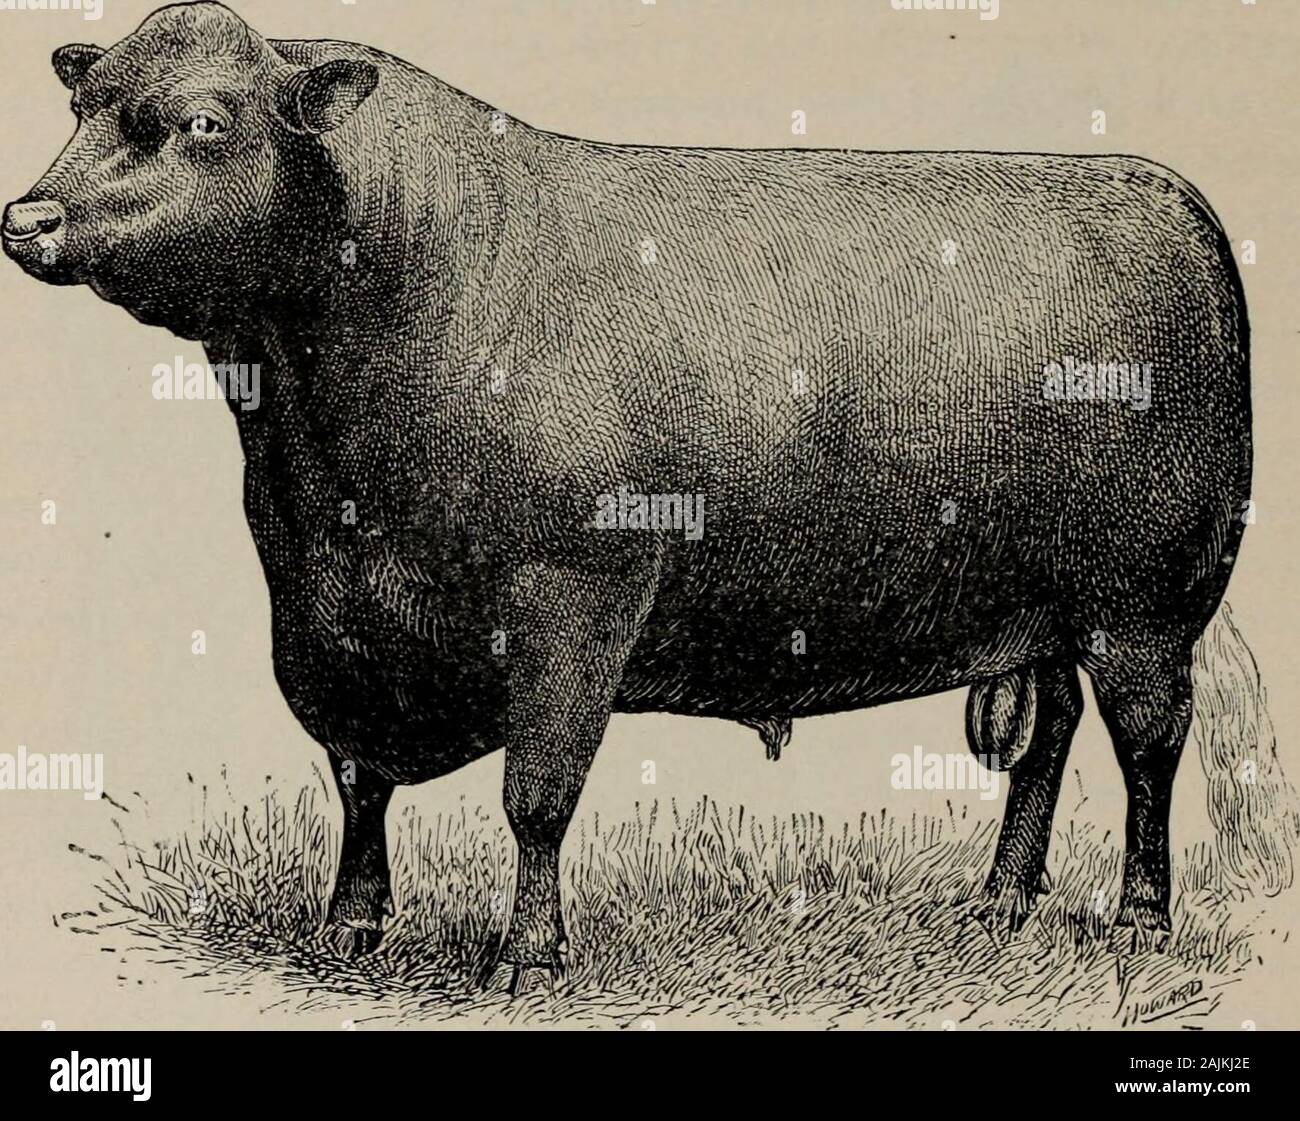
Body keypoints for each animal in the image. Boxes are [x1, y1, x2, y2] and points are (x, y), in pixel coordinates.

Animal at [4, 2, 1251, 992]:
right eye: (84, 105)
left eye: (203, 124)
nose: (27, 217)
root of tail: (1159, 192)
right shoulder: (322, 613)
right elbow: (359, 778)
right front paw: (349, 924)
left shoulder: (575, 595)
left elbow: (536, 792)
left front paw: (527, 954)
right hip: (1041, 608)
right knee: (1047, 736)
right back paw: (999, 903)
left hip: (1146, 603)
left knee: (1148, 746)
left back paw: (1138, 920)